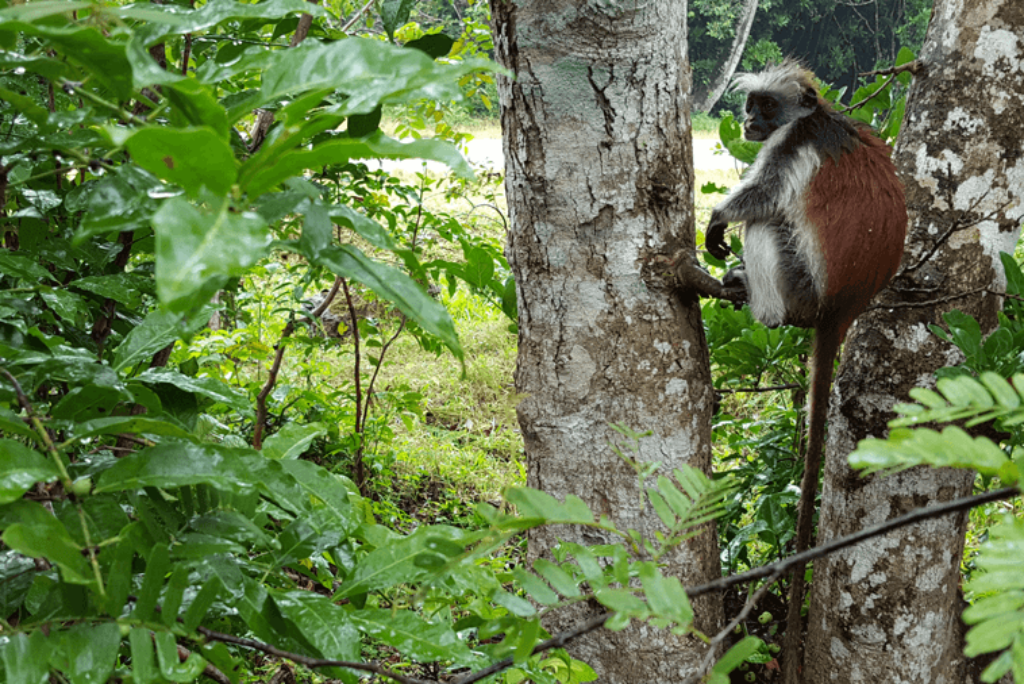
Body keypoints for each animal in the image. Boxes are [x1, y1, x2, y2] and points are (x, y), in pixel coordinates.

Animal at [704, 60, 905, 679]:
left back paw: (760, 305)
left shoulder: (794, 143)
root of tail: (843, 308)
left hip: (802, 284)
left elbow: (761, 196)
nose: (748, 121)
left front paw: (717, 217)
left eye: (766, 106)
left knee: (768, 224)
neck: (822, 116)